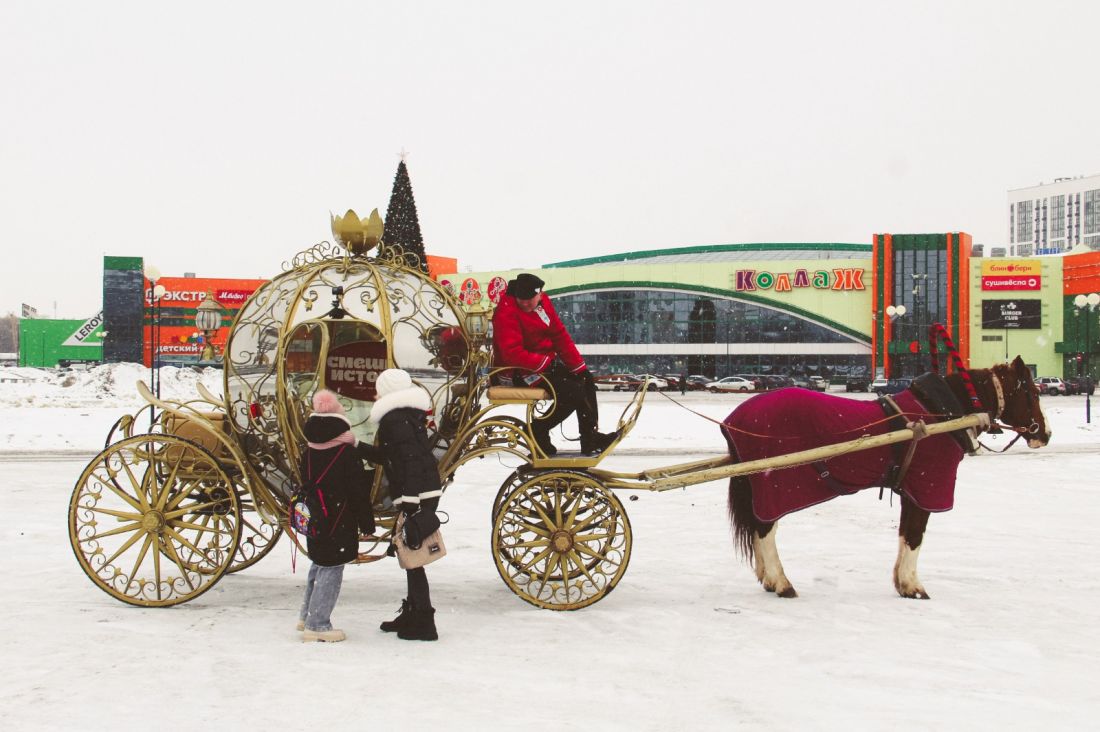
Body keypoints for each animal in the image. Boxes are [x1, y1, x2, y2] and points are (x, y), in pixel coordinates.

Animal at [721, 354, 1047, 598]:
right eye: (1031, 393)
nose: (1045, 434)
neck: (938, 413)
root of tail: (733, 421)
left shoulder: (911, 490)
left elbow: (905, 534)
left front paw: (902, 583)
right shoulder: (926, 488)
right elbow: (915, 536)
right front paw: (913, 586)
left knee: (759, 528)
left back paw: (769, 579)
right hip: (771, 484)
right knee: (765, 529)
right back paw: (781, 582)